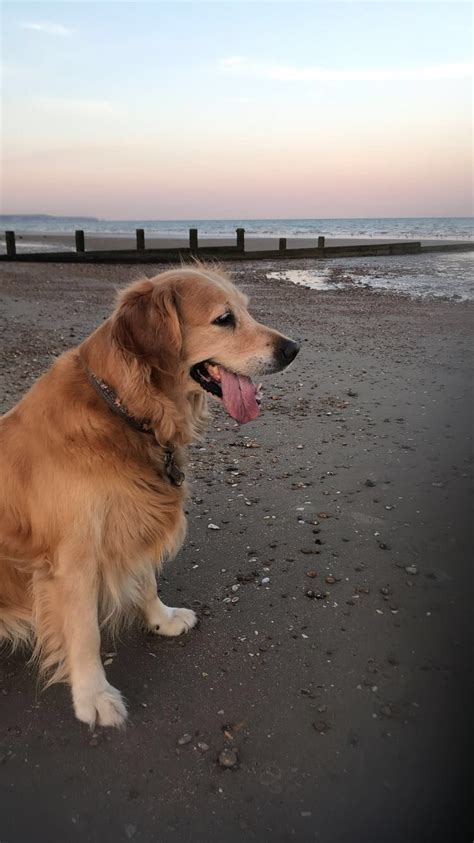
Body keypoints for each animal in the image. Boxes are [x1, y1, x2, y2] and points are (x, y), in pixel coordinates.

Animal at [0, 264, 300, 724]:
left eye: (246, 310)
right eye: (224, 319)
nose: (293, 349)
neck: (125, 411)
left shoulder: (135, 518)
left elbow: (145, 579)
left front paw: (162, 619)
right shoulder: (73, 559)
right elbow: (84, 631)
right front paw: (93, 695)